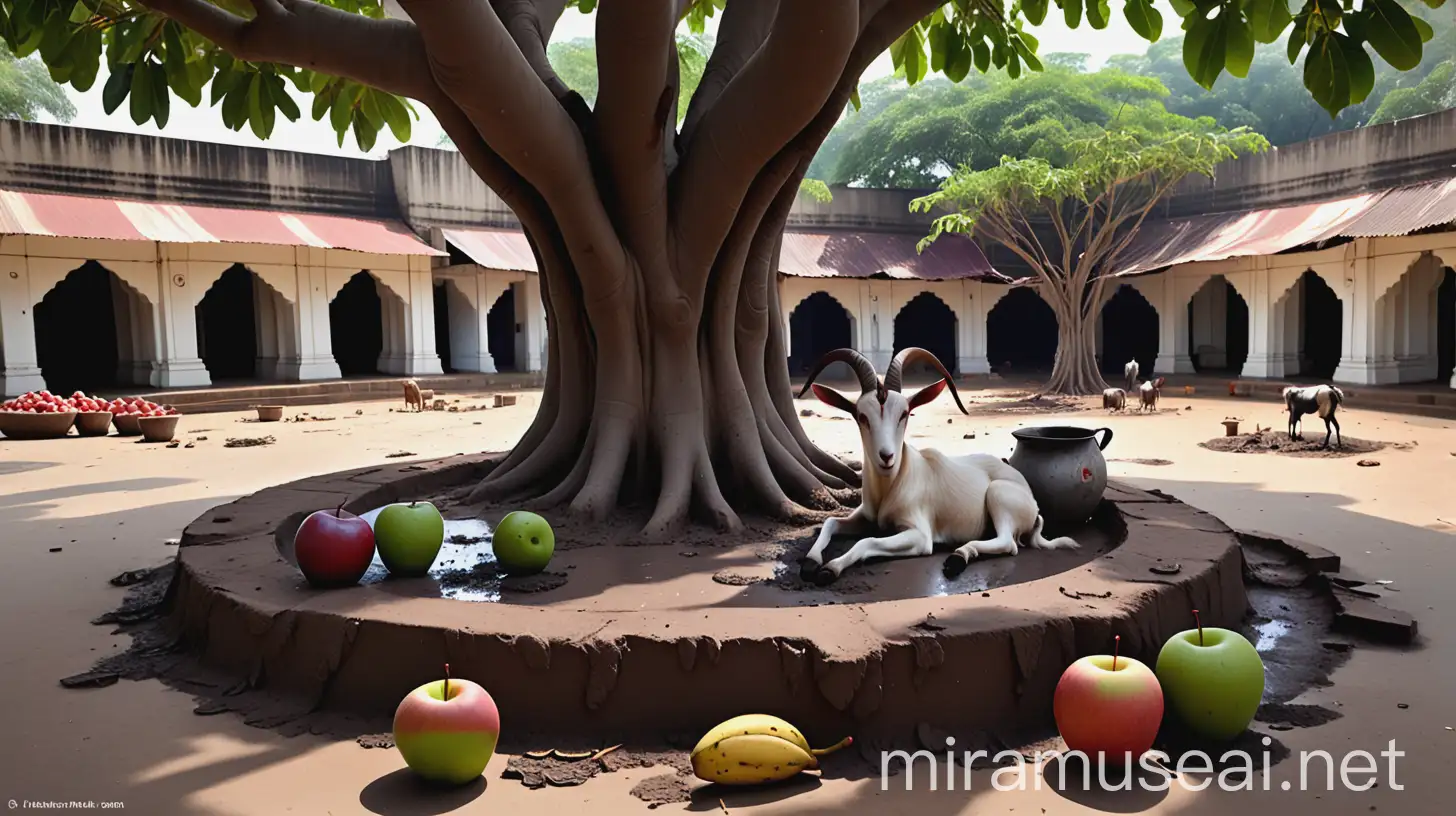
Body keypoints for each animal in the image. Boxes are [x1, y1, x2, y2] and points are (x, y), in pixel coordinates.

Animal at [792, 346, 1077, 582]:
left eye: (904, 414)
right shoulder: (864, 517)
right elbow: (830, 522)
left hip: (998, 495)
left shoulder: (919, 536)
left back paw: (958, 557)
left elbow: (867, 541)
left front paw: (830, 568)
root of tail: (1030, 500)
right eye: (862, 416)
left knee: (1009, 543)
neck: (893, 482)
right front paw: (810, 562)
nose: (887, 457)